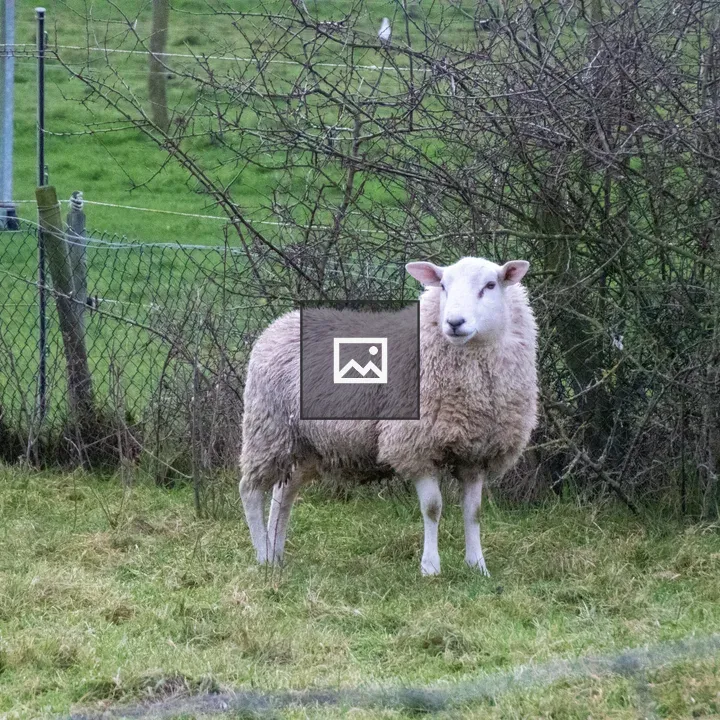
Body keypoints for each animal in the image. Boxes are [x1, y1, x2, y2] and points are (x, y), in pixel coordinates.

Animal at [239, 256, 538, 576]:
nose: (455, 323)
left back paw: (276, 555)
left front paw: (477, 566)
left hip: (306, 445)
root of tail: (279, 323)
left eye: (490, 285)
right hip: (268, 428)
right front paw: (430, 568)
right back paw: (262, 556)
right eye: (443, 286)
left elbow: (474, 512)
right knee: (251, 491)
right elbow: (433, 508)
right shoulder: (415, 446)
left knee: (283, 494)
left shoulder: (476, 453)